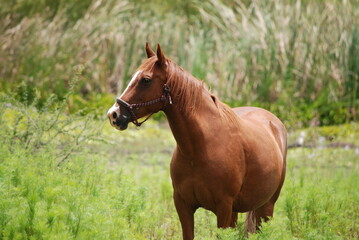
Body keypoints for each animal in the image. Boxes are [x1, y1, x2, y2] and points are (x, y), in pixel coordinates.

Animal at [106, 43, 286, 240]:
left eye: (146, 80)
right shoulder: (183, 205)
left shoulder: (223, 208)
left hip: (266, 207)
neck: (199, 149)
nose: (114, 114)